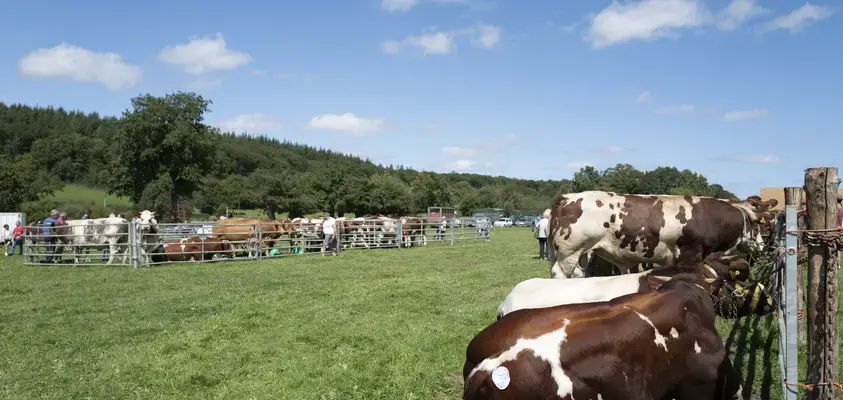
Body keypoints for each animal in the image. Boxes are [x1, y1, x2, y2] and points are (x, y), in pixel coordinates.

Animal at [548, 192, 780, 280]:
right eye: (761, 223)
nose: (765, 248)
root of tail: (567, 197)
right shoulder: (690, 256)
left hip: (583, 253)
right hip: (569, 253)